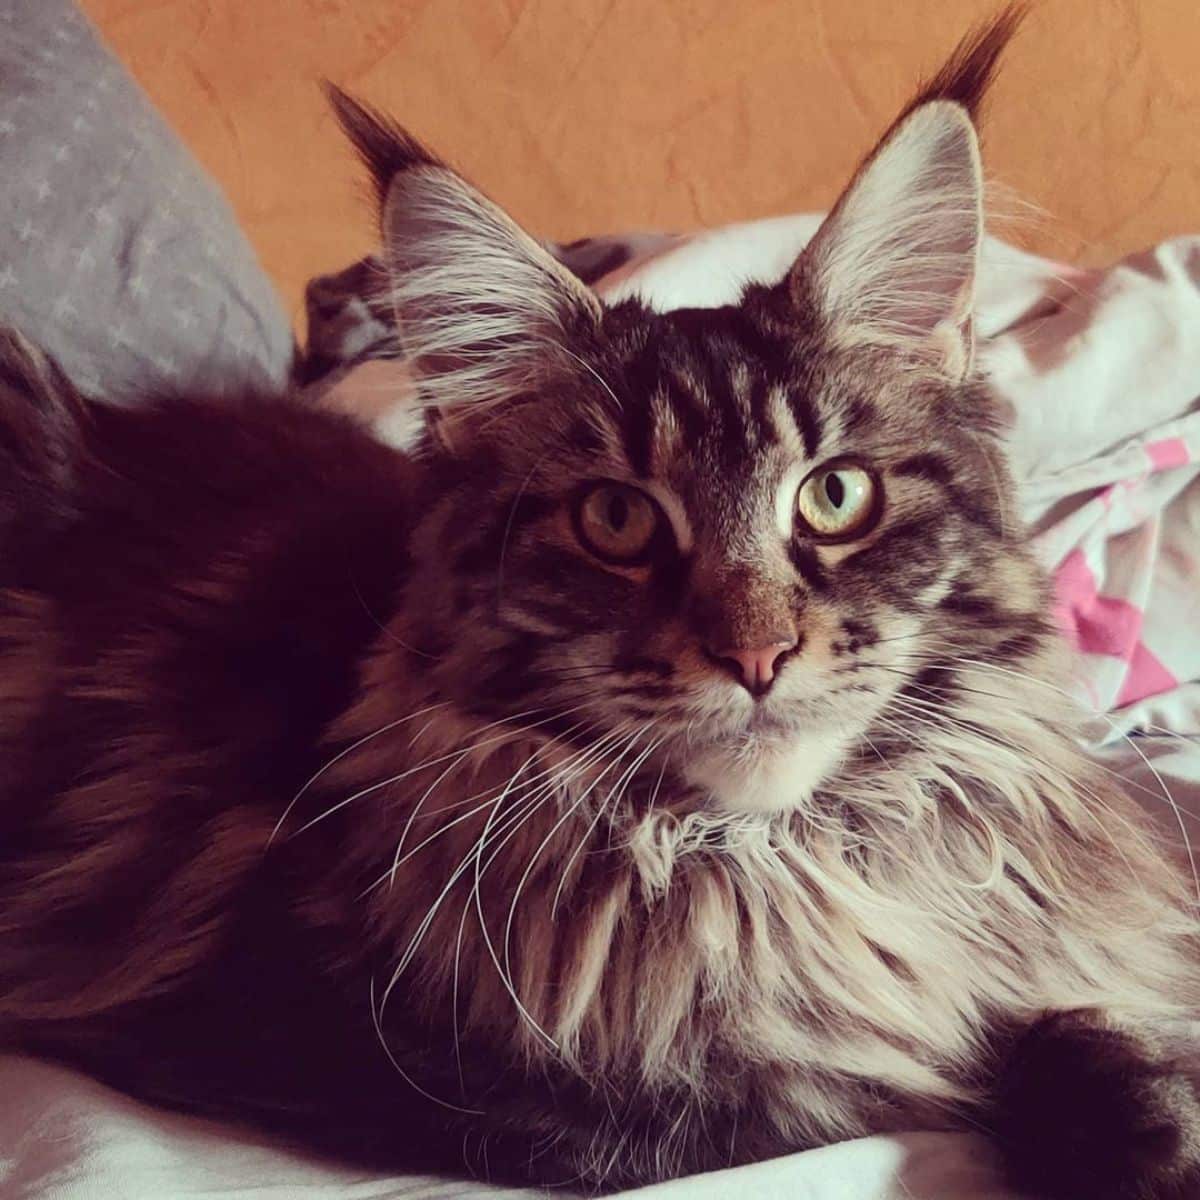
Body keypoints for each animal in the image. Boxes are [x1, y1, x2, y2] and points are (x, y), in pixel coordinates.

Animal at [2, 11, 1200, 1200]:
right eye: (617, 520)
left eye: (835, 496)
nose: (757, 655)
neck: (770, 866)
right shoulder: (423, 1073)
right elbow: (899, 1075)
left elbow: (1059, 1018)